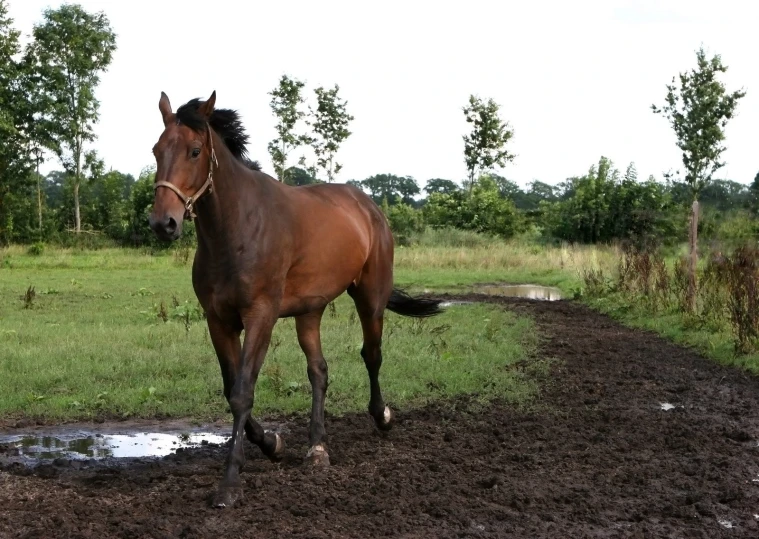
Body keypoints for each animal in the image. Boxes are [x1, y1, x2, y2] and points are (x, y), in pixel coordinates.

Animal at [149, 90, 446, 508]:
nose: (164, 223)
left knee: (371, 355)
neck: (238, 229)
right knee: (318, 371)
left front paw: (229, 484)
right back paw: (317, 449)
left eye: (194, 151)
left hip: (370, 297)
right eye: (157, 149)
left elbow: (242, 392)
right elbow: (231, 388)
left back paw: (382, 416)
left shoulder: (261, 315)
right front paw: (273, 443)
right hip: (310, 311)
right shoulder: (218, 319)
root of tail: (368, 206)